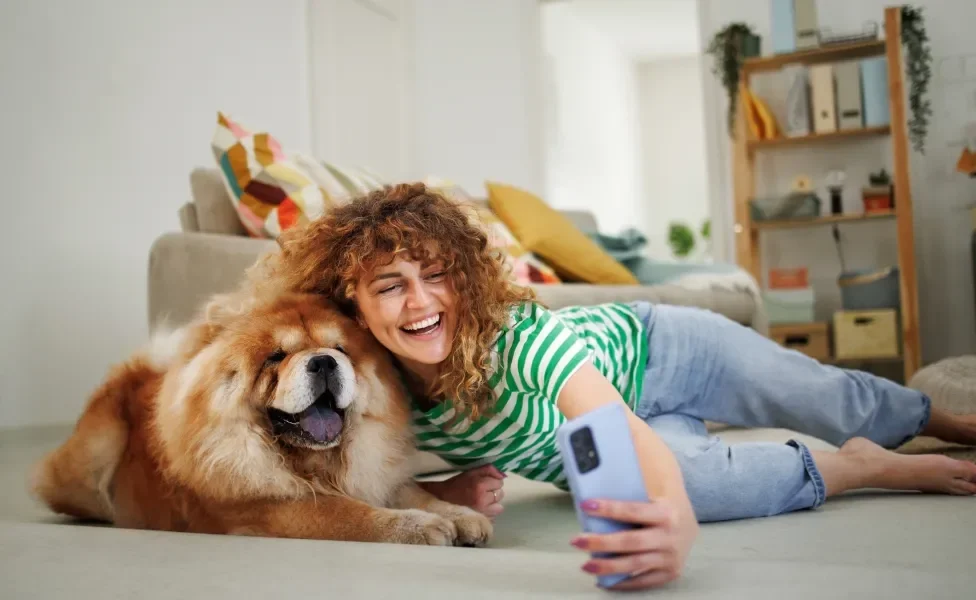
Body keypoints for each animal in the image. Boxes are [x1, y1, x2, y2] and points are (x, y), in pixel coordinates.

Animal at [30, 292, 492, 548]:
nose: (324, 362)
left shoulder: (376, 474)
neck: (317, 464)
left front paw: (461, 515)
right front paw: (423, 528)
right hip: (92, 455)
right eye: (276, 356)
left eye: (340, 349)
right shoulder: (273, 507)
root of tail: (135, 375)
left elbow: (417, 494)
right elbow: (355, 515)